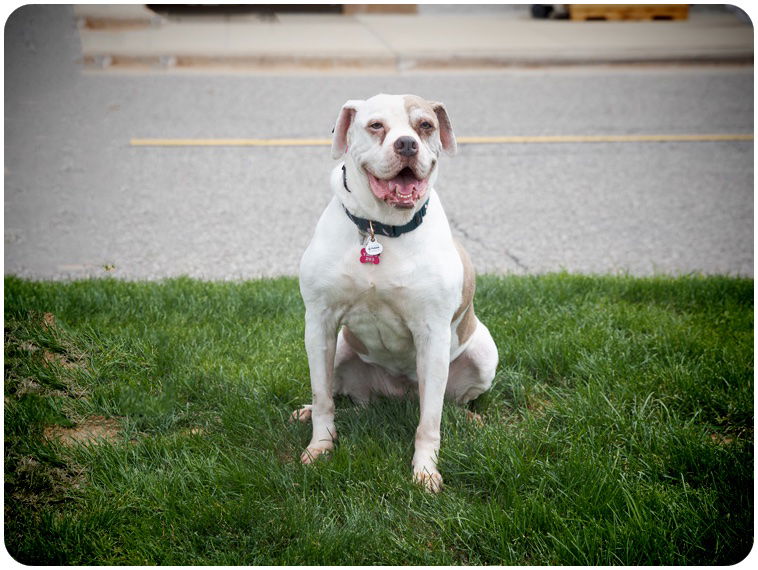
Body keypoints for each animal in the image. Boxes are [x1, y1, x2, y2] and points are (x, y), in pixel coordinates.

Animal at [294, 93, 498, 492]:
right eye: (376, 126)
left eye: (425, 126)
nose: (407, 144)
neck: (382, 228)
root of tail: (397, 392)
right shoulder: (320, 322)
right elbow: (322, 395)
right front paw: (320, 447)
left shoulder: (432, 334)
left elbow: (430, 422)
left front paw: (425, 471)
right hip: (340, 348)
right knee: (338, 393)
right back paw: (308, 412)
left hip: (483, 354)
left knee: (451, 404)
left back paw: (469, 419)